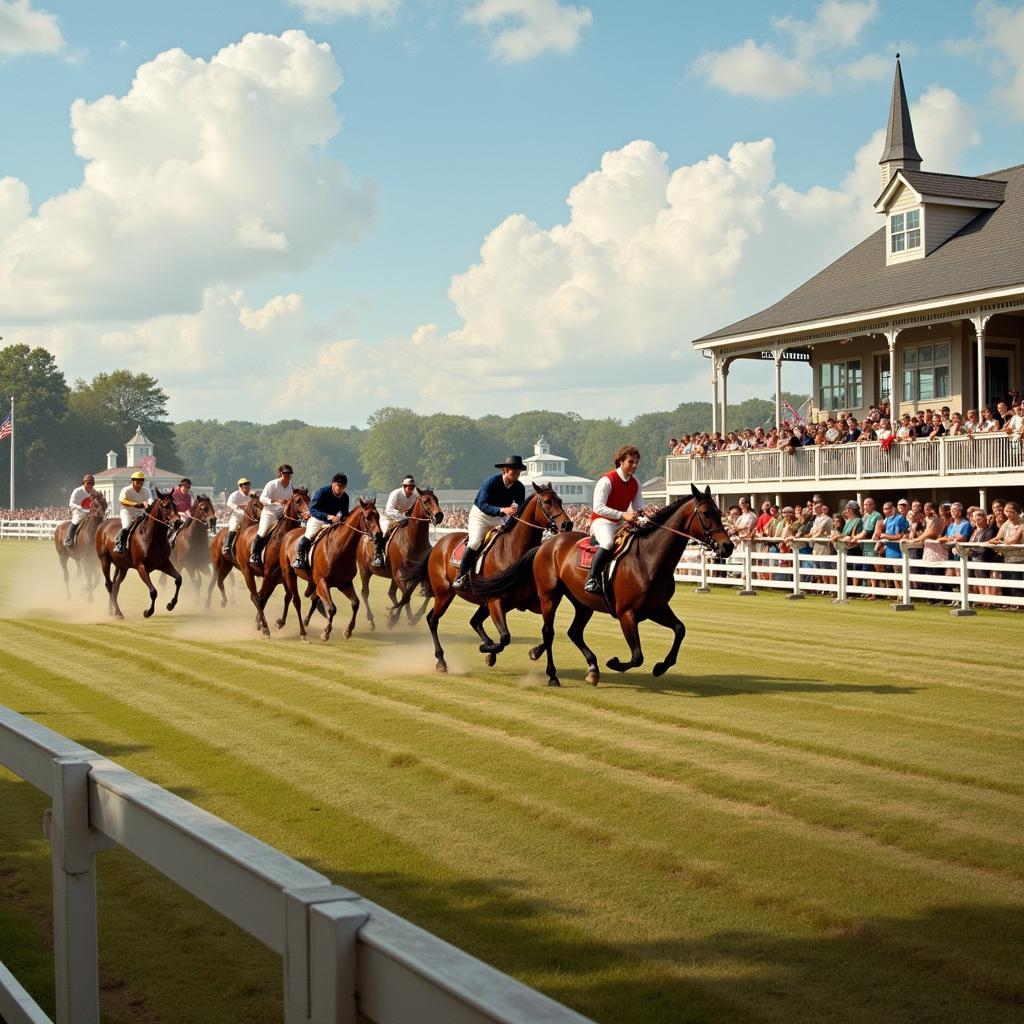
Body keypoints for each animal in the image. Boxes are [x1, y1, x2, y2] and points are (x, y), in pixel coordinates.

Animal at [234, 489, 309, 638]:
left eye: (309, 499)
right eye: (298, 501)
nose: (308, 515)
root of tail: (243, 533)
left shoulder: (281, 576)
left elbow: (287, 597)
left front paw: (278, 622)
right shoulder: (269, 575)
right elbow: (262, 598)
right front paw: (264, 627)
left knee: (260, 597)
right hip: (247, 572)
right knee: (256, 597)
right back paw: (264, 627)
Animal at [276, 499, 385, 643]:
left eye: (378, 515)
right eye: (367, 517)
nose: (379, 535)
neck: (339, 548)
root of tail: (288, 535)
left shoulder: (344, 583)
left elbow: (355, 603)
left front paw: (348, 631)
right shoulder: (322, 582)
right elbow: (332, 608)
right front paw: (326, 632)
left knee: (298, 597)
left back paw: (284, 622)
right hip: (289, 574)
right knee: (296, 601)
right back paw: (302, 632)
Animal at [356, 483, 444, 626]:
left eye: (436, 499)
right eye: (426, 500)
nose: (439, 515)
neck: (413, 540)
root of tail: (364, 535)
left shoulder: (417, 574)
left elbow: (427, 593)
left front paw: (409, 616)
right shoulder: (399, 574)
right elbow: (406, 596)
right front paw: (396, 618)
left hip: (391, 576)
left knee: (391, 593)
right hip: (365, 570)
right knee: (365, 593)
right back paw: (371, 621)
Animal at [401, 483, 577, 675]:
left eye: (560, 500)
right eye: (547, 502)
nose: (567, 523)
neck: (512, 550)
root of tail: (437, 546)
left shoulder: (532, 602)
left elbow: (546, 632)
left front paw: (532, 652)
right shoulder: (495, 601)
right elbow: (506, 637)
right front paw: (488, 650)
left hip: (477, 602)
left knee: (474, 621)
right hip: (444, 594)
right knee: (433, 620)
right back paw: (441, 660)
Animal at [475, 481, 733, 688]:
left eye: (719, 511)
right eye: (706, 513)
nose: (727, 546)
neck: (648, 558)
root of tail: (547, 544)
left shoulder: (656, 608)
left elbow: (680, 630)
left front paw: (661, 666)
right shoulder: (627, 613)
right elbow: (637, 656)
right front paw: (615, 662)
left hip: (582, 602)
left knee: (573, 632)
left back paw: (589, 668)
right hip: (549, 596)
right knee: (548, 632)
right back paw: (552, 674)